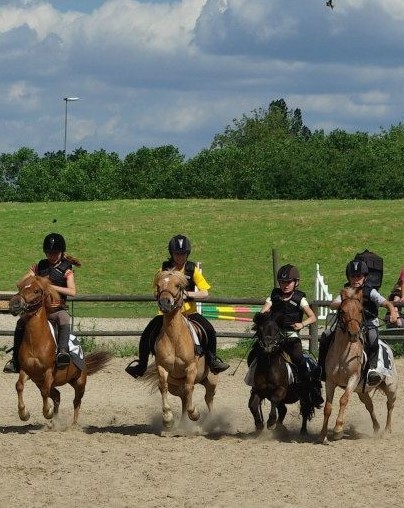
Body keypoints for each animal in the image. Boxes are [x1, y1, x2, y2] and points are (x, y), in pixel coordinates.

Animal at [8, 276, 112, 426]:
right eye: (20, 287)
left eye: (36, 290)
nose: (14, 303)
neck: (36, 341)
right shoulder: (26, 371)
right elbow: (19, 386)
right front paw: (24, 414)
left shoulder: (49, 372)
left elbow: (44, 392)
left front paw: (47, 412)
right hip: (39, 381)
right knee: (57, 395)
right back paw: (54, 422)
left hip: (80, 382)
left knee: (76, 401)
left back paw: (73, 424)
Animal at [152, 270, 218, 428]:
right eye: (158, 285)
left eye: (177, 285)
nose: (165, 303)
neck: (175, 337)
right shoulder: (162, 367)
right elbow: (162, 386)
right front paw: (168, 418)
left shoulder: (191, 368)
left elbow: (190, 388)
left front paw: (194, 413)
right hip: (176, 386)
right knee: (183, 398)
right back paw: (182, 423)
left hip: (211, 380)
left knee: (208, 397)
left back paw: (210, 421)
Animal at [320, 286, 400, 444]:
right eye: (342, 311)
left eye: (360, 310)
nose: (353, 333)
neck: (343, 352)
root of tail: (387, 347)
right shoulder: (330, 381)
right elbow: (328, 407)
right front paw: (323, 435)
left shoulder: (353, 378)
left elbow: (343, 399)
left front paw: (338, 430)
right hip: (362, 391)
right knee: (369, 405)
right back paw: (376, 427)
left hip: (391, 386)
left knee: (390, 405)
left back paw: (387, 430)